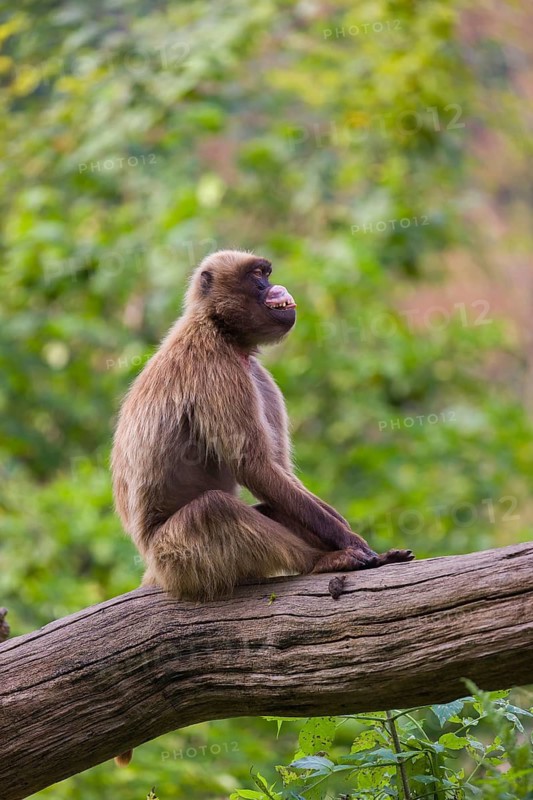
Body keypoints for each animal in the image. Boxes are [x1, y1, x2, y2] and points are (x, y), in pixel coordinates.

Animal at [111, 249, 413, 607]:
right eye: (258, 275)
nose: (273, 286)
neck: (218, 328)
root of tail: (151, 567)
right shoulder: (218, 369)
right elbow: (254, 466)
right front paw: (349, 540)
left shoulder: (257, 375)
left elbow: (279, 470)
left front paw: (348, 532)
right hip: (174, 559)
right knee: (214, 510)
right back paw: (321, 561)